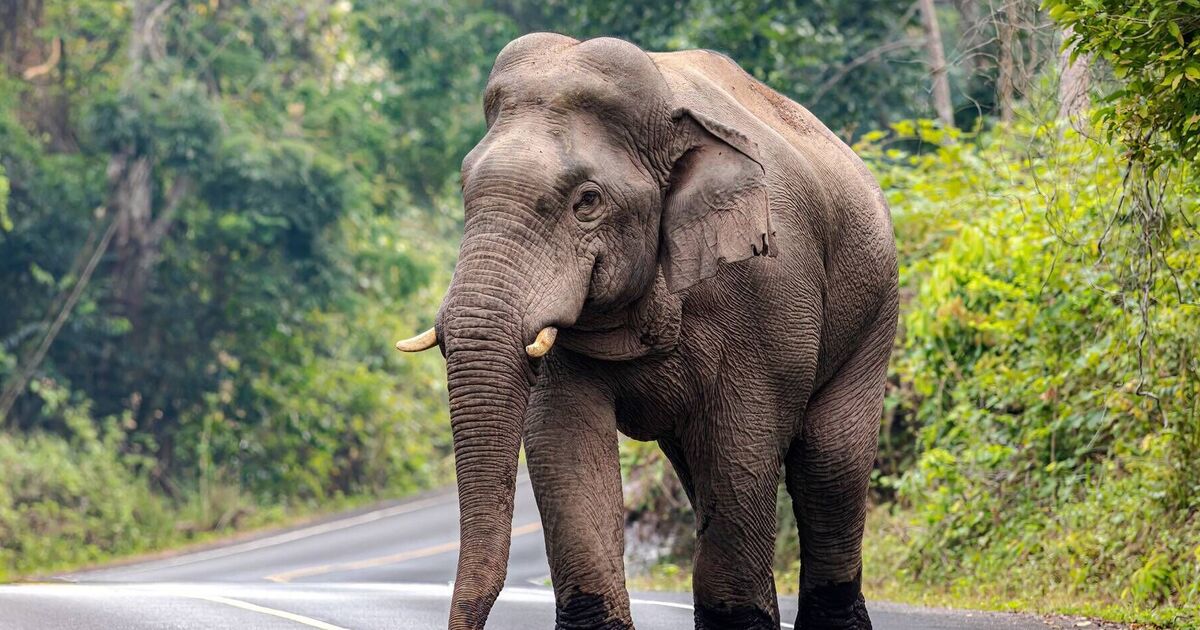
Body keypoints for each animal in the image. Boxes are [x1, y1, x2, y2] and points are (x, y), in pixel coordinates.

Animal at [395, 33, 898, 630]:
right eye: (464, 187)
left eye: (587, 201)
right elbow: (564, 442)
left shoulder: (768, 297)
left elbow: (742, 448)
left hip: (875, 310)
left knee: (829, 465)